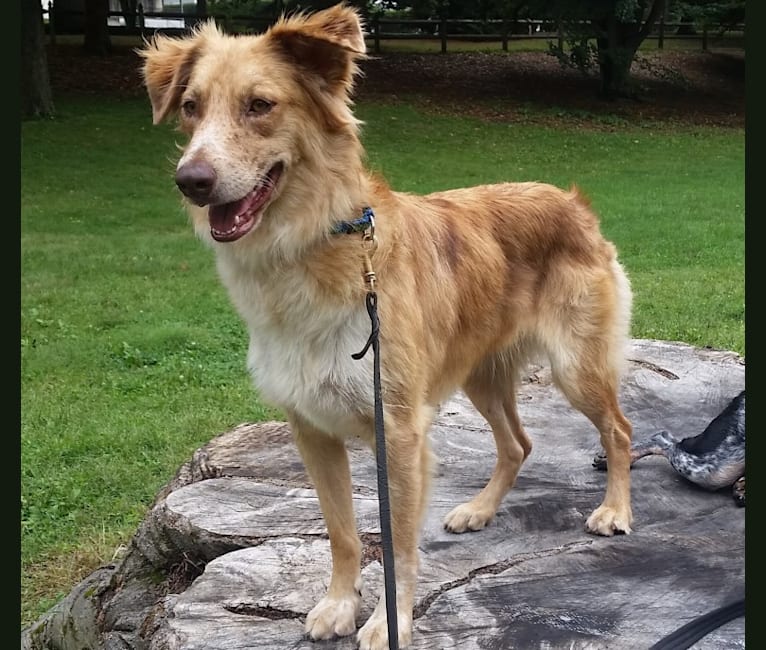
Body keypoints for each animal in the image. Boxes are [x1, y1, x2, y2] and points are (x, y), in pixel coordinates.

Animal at [142, 3, 636, 644]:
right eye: (190, 108)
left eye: (260, 105)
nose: (192, 181)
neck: (310, 248)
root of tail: (573, 201)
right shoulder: (311, 429)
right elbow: (343, 532)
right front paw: (338, 603)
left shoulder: (398, 432)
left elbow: (398, 541)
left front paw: (389, 621)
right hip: (481, 375)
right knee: (518, 443)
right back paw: (480, 510)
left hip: (577, 366)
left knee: (618, 431)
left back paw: (615, 510)